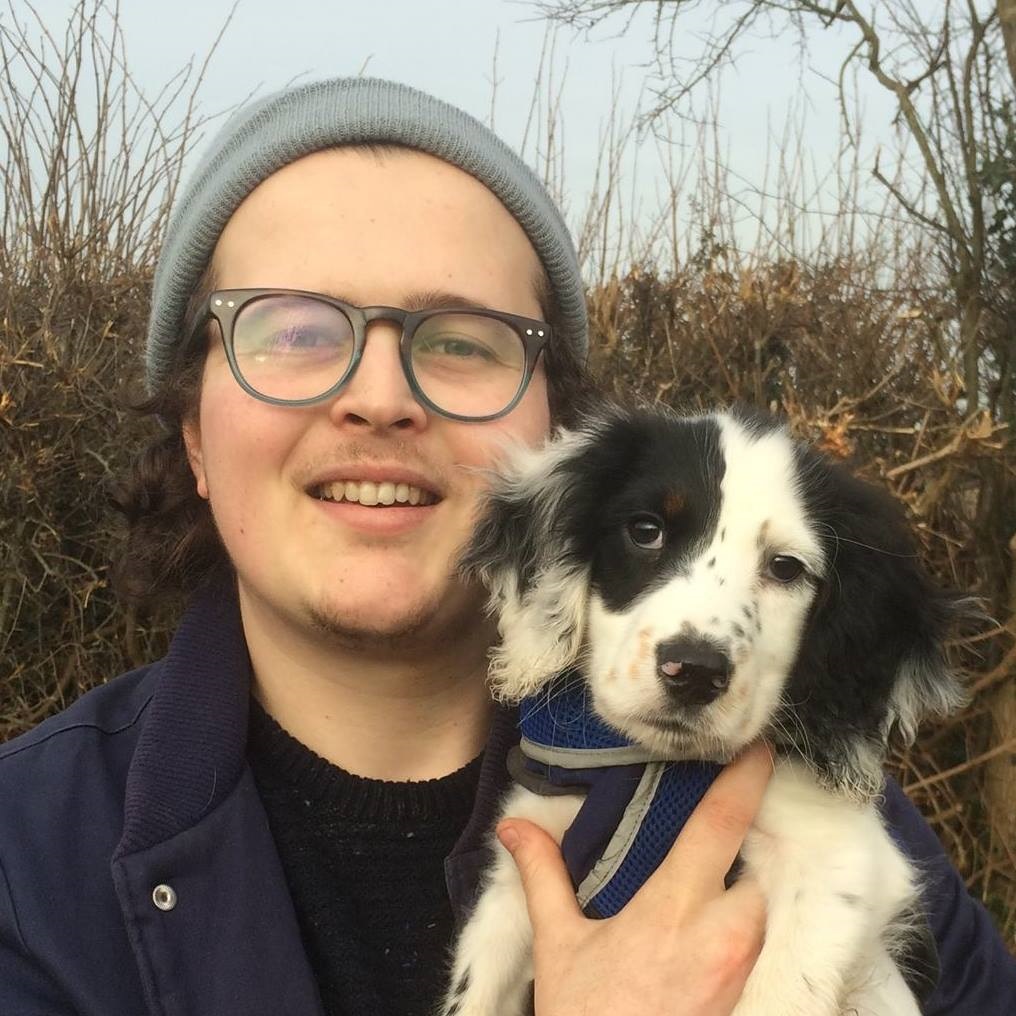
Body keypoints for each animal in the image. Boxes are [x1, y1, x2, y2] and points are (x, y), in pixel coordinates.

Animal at [442, 404, 967, 1016]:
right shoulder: (520, 871)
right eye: (646, 531)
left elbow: (779, 995)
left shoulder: (835, 861)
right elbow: (474, 991)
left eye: (786, 568)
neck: (660, 769)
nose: (693, 671)